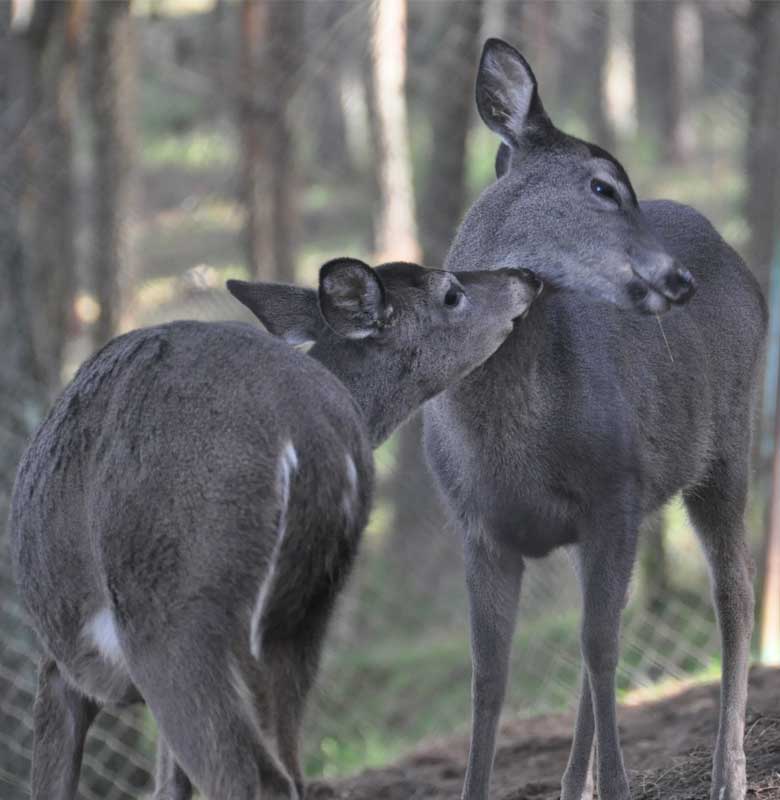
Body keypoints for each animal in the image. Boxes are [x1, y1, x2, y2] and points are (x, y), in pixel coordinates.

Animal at [7, 258, 544, 800]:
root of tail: (308, 431)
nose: (526, 276)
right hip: (300, 614)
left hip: (173, 614)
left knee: (252, 775)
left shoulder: (61, 667)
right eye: (451, 294)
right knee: (289, 768)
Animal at [424, 39, 764, 800]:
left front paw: (617, 781)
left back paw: (727, 772)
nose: (679, 280)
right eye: (603, 187)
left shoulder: (617, 490)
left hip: (729, 446)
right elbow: (489, 677)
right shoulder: (477, 523)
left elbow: (603, 647)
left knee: (735, 594)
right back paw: (571, 782)